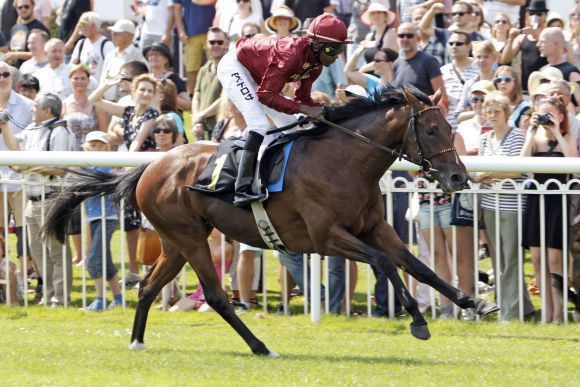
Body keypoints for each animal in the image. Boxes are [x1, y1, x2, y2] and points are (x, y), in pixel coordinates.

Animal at [44, 85, 498, 358]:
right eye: (432, 129)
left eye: (451, 127)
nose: (458, 178)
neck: (345, 161)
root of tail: (149, 167)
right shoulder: (325, 236)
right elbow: (386, 263)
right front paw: (419, 321)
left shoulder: (374, 228)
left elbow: (419, 266)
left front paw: (475, 301)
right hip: (190, 239)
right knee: (216, 296)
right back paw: (261, 346)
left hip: (177, 240)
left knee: (149, 287)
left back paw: (138, 341)